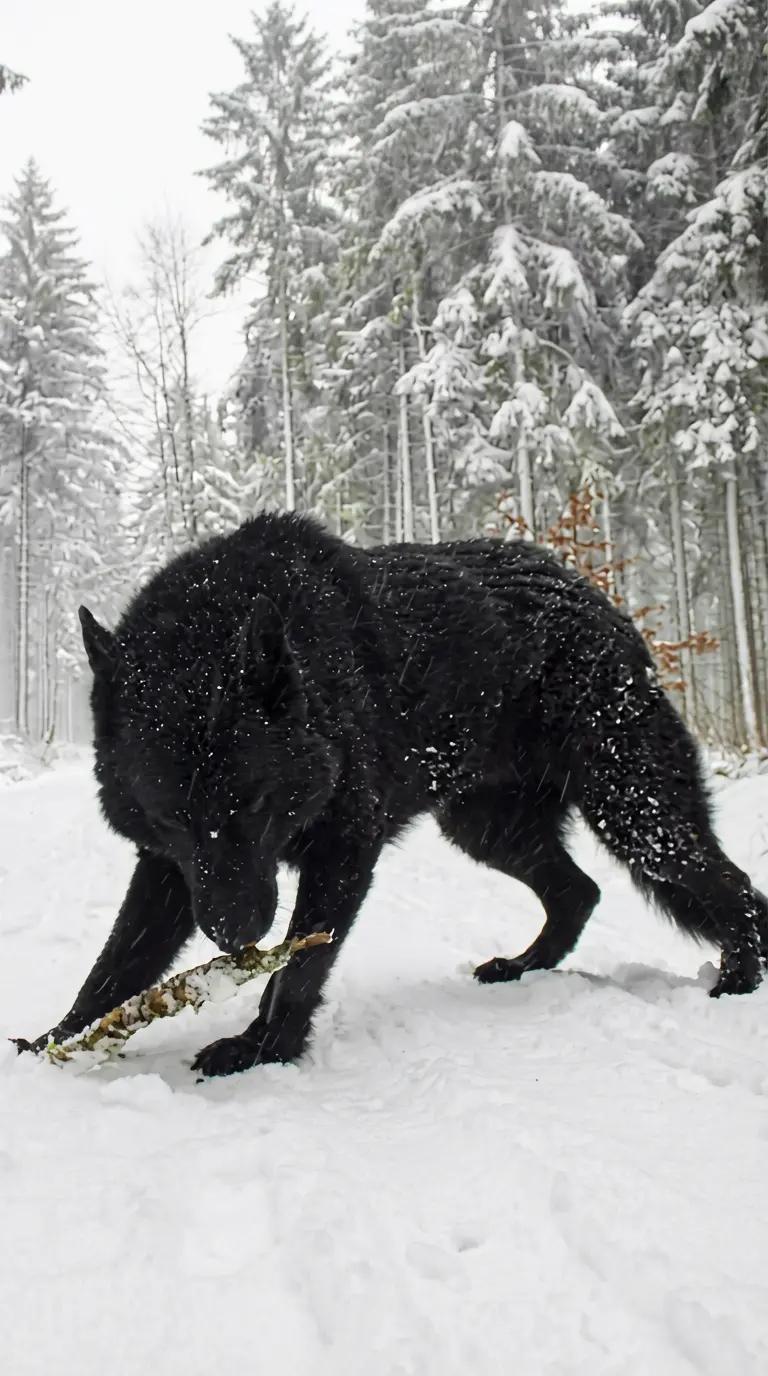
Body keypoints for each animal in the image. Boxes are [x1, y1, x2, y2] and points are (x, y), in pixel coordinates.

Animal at [19, 513, 768, 1076]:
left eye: (255, 804)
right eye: (172, 818)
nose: (235, 936)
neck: (314, 683)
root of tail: (595, 596)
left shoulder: (343, 851)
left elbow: (297, 970)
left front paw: (262, 1050)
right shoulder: (173, 871)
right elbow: (115, 964)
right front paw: (54, 1042)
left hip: (638, 819)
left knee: (733, 888)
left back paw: (737, 981)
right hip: (489, 831)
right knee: (578, 892)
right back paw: (524, 967)